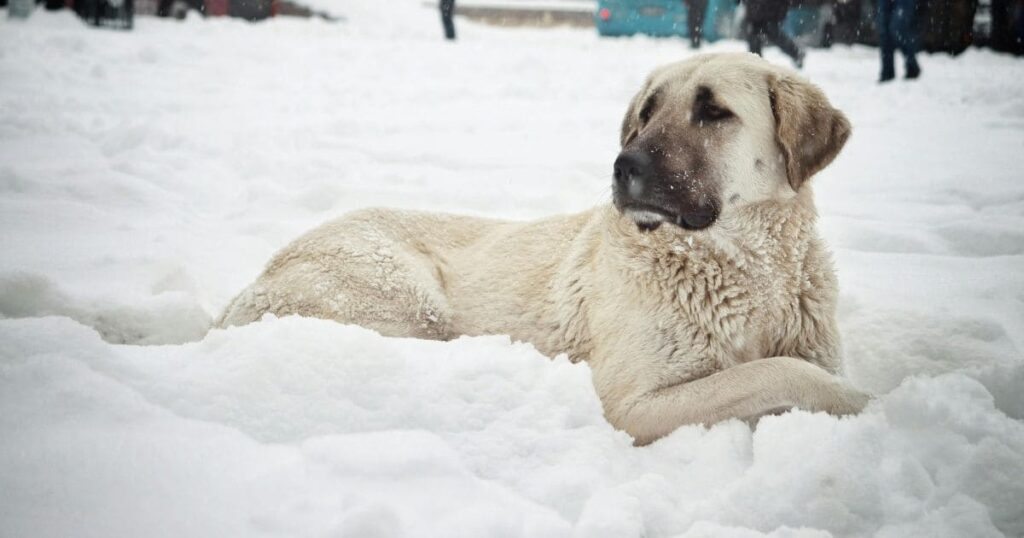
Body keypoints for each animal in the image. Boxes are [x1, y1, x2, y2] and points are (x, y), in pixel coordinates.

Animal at [220, 52, 868, 442]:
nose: (623, 166)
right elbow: (782, 373)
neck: (746, 270)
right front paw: (864, 403)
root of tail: (248, 285)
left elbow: (786, 366)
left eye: (714, 112)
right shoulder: (634, 404)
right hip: (406, 301)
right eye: (647, 112)